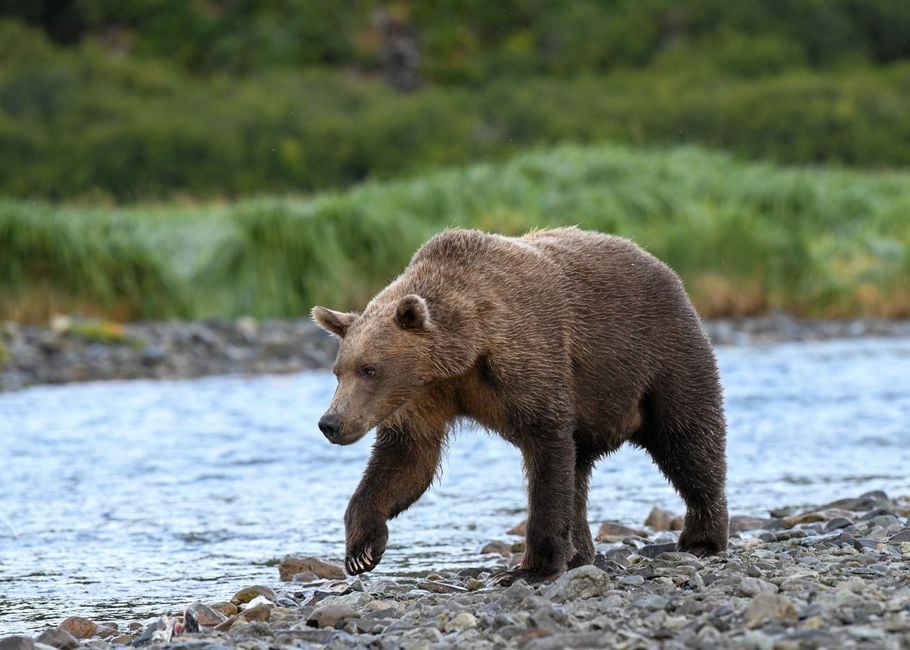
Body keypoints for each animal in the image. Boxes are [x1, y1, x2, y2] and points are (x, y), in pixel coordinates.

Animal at [312, 227, 728, 583]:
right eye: (338, 371)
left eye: (370, 369)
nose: (331, 423)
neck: (463, 355)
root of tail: (659, 263)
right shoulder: (422, 398)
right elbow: (406, 462)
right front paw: (361, 550)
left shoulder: (527, 357)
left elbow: (546, 449)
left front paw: (531, 568)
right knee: (579, 471)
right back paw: (580, 553)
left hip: (658, 354)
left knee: (688, 439)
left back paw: (702, 539)